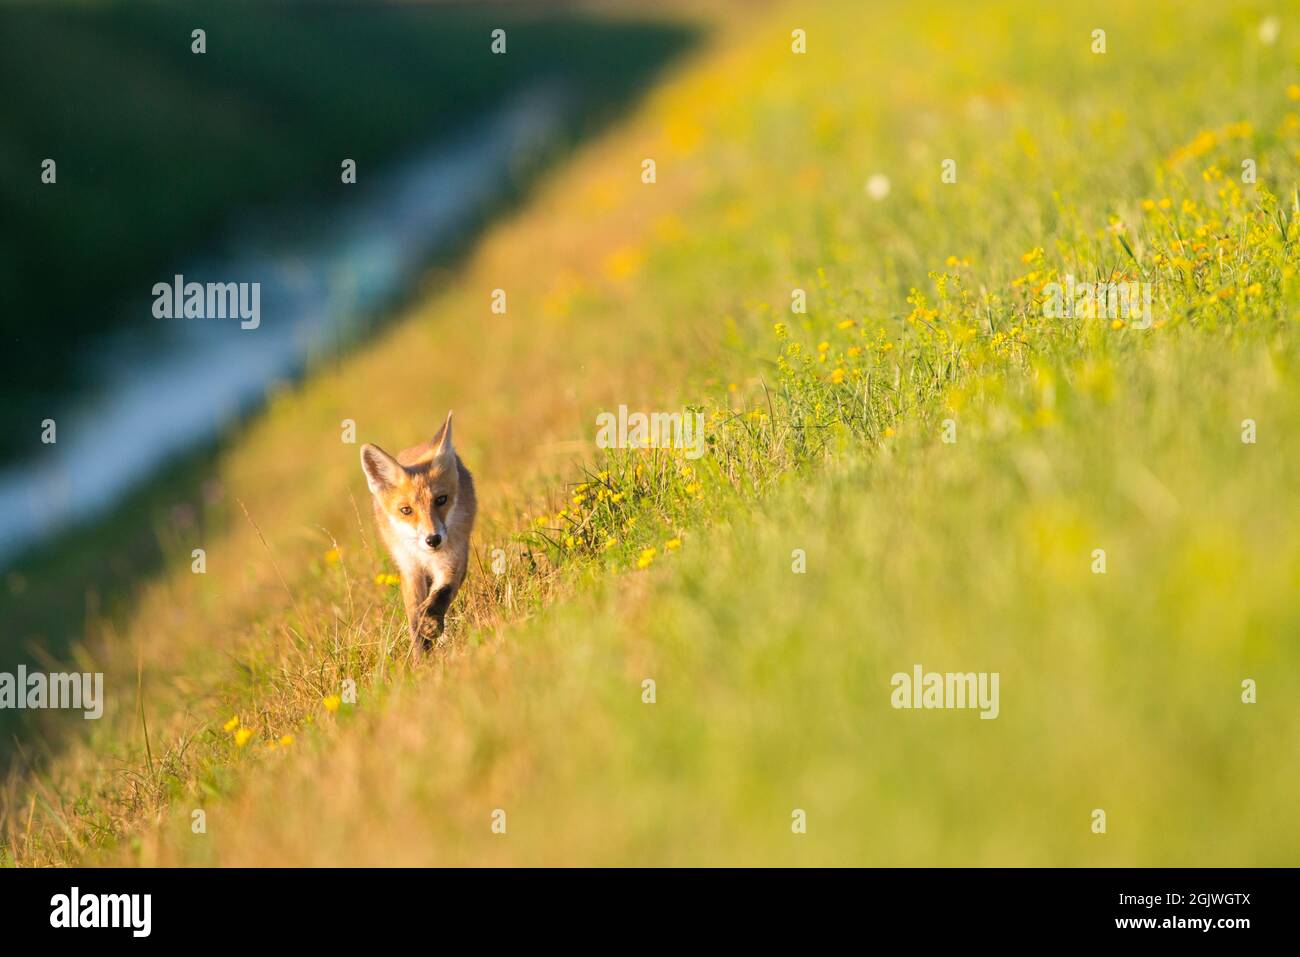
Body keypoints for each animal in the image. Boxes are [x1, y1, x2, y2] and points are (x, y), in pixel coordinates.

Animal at [361, 410, 478, 650]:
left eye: (441, 500)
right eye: (406, 510)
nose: (433, 539)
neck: (426, 555)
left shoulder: (452, 560)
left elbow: (442, 594)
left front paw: (432, 621)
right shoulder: (410, 568)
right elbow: (414, 617)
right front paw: (421, 655)